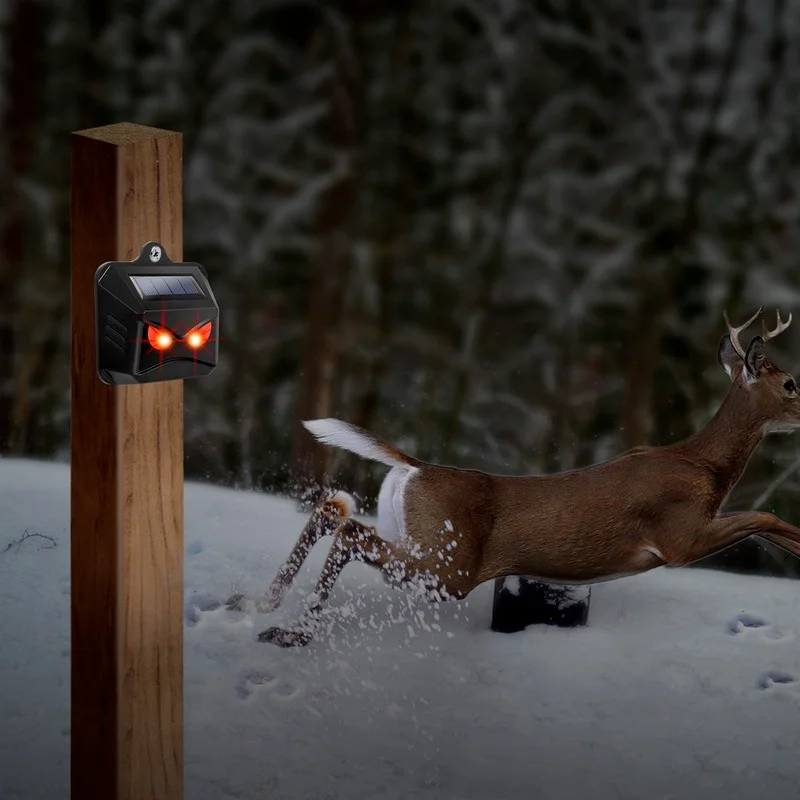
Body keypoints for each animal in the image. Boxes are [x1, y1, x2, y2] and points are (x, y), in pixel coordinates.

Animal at [228, 306, 800, 644]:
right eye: (792, 383)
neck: (705, 465)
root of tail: (416, 467)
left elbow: (765, 521)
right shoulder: (679, 537)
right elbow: (766, 516)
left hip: (419, 538)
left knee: (333, 508)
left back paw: (258, 603)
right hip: (449, 566)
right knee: (348, 528)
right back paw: (292, 631)